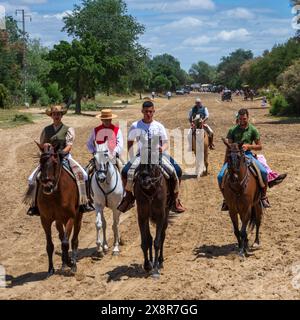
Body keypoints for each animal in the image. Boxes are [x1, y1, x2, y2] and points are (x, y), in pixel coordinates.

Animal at [34, 143, 82, 276]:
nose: (47, 186)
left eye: (55, 162)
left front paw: (71, 264)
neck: (55, 195)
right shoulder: (45, 220)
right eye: (40, 161)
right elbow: (50, 245)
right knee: (61, 236)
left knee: (74, 240)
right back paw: (65, 262)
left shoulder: (71, 217)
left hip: (77, 218)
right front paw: (51, 269)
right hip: (59, 220)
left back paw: (72, 264)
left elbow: (66, 243)